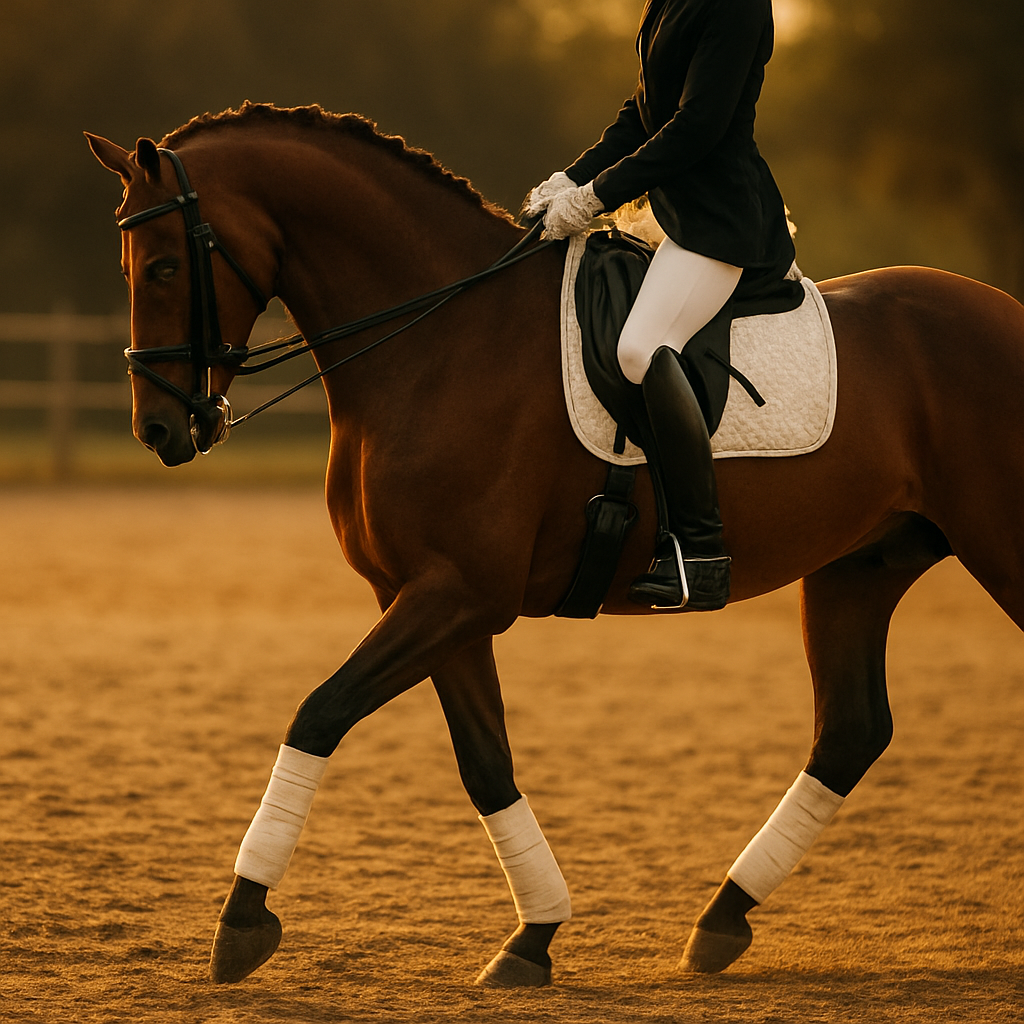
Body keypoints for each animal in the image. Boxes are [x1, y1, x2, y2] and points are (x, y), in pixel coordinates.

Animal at [86, 102, 1024, 988]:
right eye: (128, 267)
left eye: (165, 265)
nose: (160, 429)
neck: (440, 339)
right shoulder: (428, 598)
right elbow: (483, 762)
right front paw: (532, 938)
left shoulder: (459, 594)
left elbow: (320, 712)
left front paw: (241, 920)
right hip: (858, 567)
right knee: (851, 733)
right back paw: (721, 919)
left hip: (992, 546)